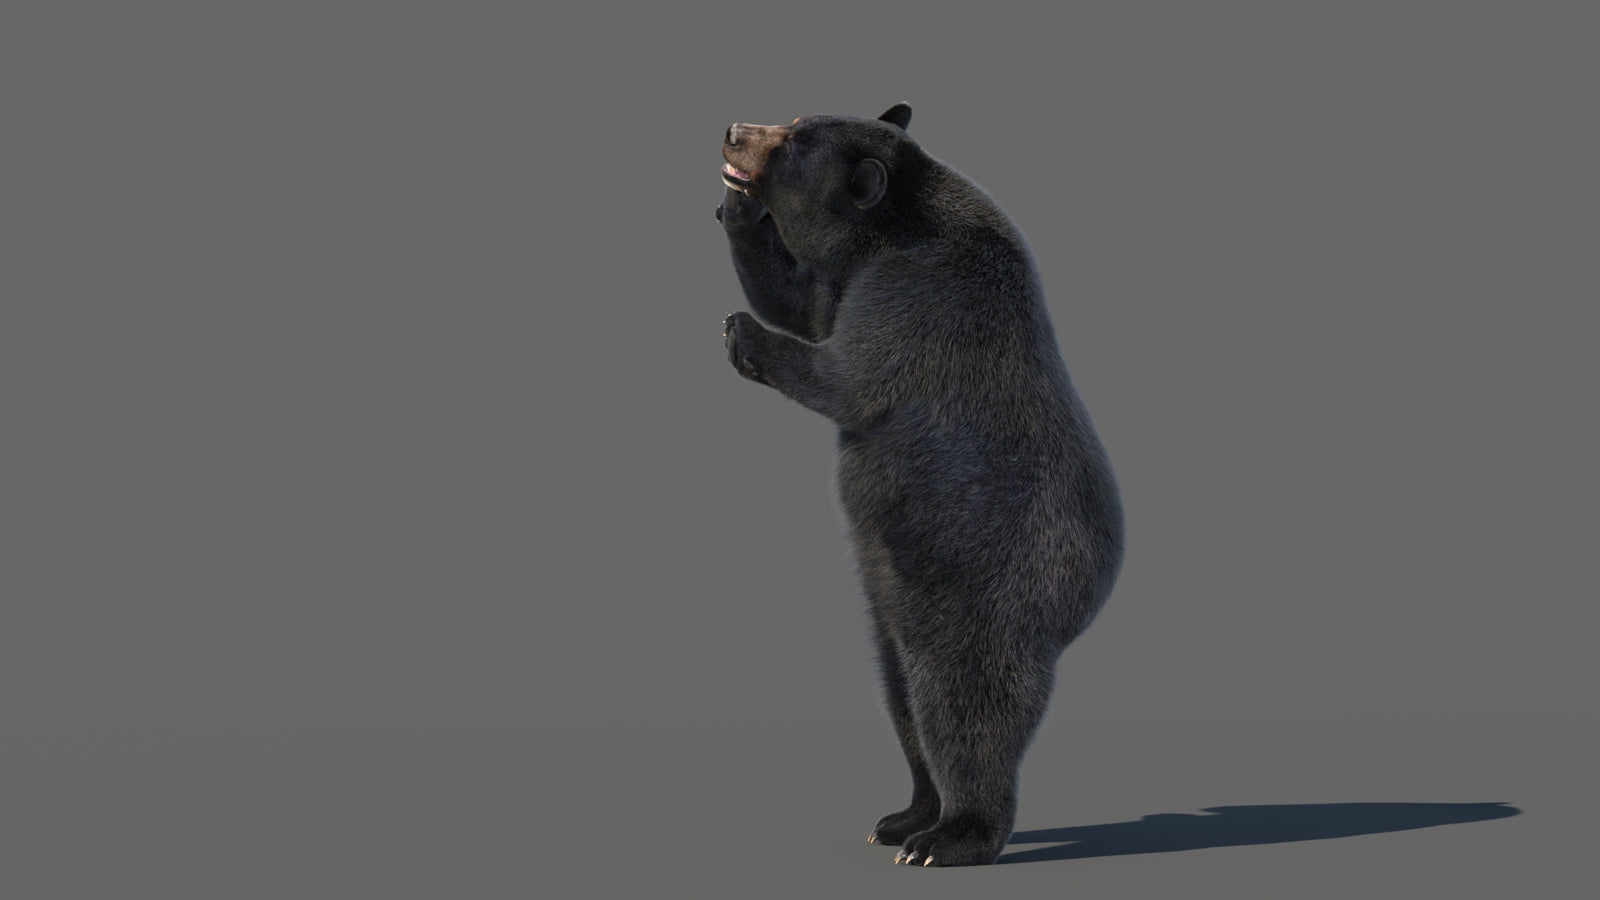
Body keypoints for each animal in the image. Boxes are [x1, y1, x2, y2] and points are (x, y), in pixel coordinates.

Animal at [716, 103, 1124, 867]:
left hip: (987, 587)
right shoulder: (848, 277)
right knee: (899, 692)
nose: (734, 133)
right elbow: (804, 300)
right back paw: (904, 816)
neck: (890, 230)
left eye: (795, 142)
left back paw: (951, 836)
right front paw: (736, 207)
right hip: (892, 598)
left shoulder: (920, 292)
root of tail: (1090, 596)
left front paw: (743, 331)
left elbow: (850, 375)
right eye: (793, 118)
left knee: (961, 706)